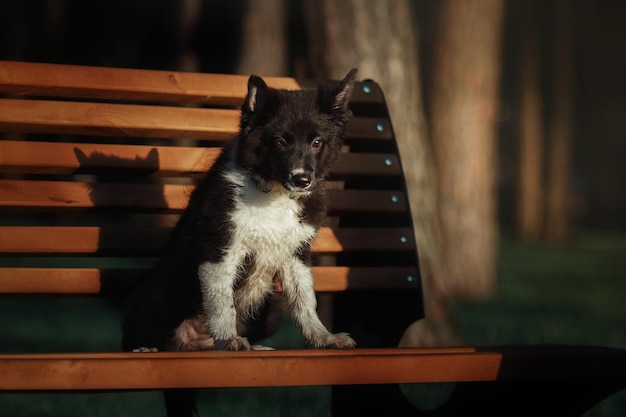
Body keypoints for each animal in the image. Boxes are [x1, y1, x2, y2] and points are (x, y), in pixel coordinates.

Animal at [122, 69, 356, 412]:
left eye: (317, 142)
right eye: (280, 141)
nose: (302, 179)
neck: (274, 193)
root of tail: (189, 344)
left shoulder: (296, 254)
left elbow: (305, 300)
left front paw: (324, 338)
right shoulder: (219, 248)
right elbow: (222, 301)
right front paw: (228, 338)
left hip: (270, 309)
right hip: (158, 293)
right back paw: (145, 349)